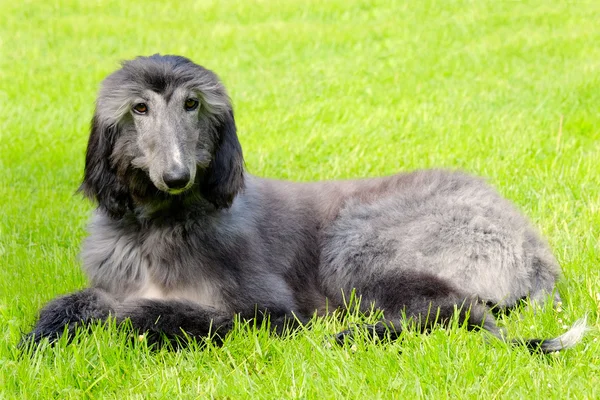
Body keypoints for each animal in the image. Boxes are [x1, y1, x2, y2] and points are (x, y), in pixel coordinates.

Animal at [24, 54, 584, 352]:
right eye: (139, 109)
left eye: (192, 104)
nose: (176, 176)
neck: (161, 227)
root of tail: (533, 249)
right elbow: (74, 300)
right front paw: (41, 335)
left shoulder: (271, 309)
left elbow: (152, 312)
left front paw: (110, 320)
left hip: (360, 243)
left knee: (454, 311)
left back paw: (353, 336)